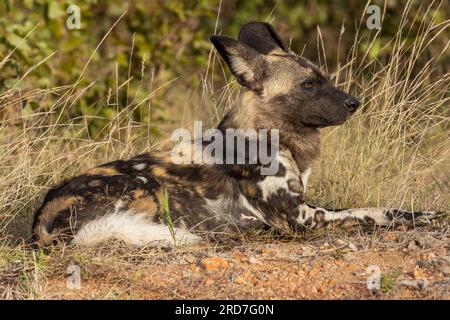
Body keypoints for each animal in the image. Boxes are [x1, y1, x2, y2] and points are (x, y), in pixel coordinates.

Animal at [31, 23, 442, 248]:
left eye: (324, 78)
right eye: (309, 85)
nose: (353, 102)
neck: (274, 137)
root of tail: (39, 223)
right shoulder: (303, 219)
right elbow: (372, 211)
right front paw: (419, 216)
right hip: (145, 188)